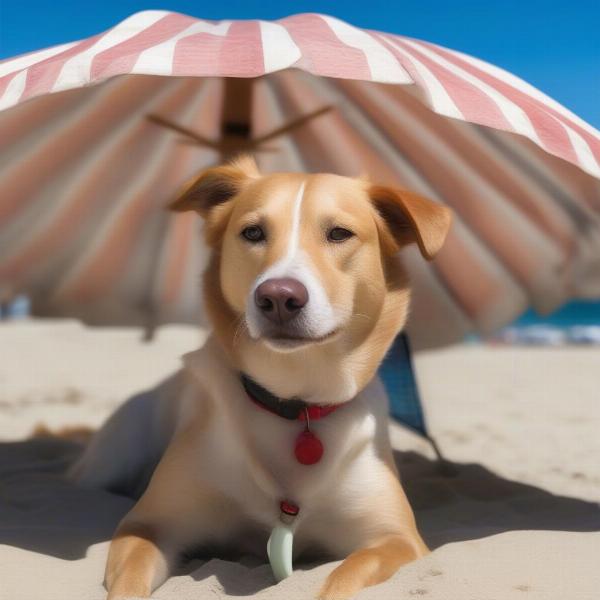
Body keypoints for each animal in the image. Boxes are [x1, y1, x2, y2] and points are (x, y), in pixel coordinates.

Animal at [70, 157, 452, 596]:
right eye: (252, 232)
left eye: (339, 233)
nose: (279, 297)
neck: (296, 400)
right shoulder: (148, 524)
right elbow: (128, 583)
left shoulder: (395, 538)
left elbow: (341, 580)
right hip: (110, 460)